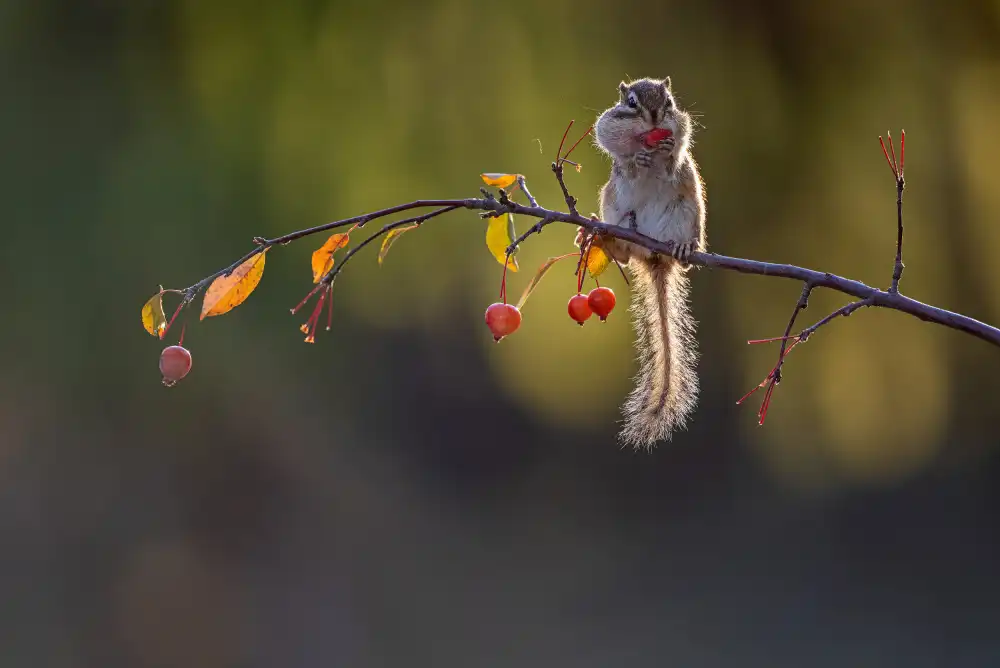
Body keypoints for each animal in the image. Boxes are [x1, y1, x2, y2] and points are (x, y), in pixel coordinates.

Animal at [578, 76, 707, 449]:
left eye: (668, 102)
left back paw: (684, 247)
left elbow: (680, 142)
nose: (653, 118)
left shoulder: (681, 124)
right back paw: (603, 237)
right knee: (622, 252)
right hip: (613, 205)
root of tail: (654, 257)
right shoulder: (609, 125)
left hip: (690, 208)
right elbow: (610, 139)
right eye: (631, 102)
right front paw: (637, 156)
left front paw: (668, 153)